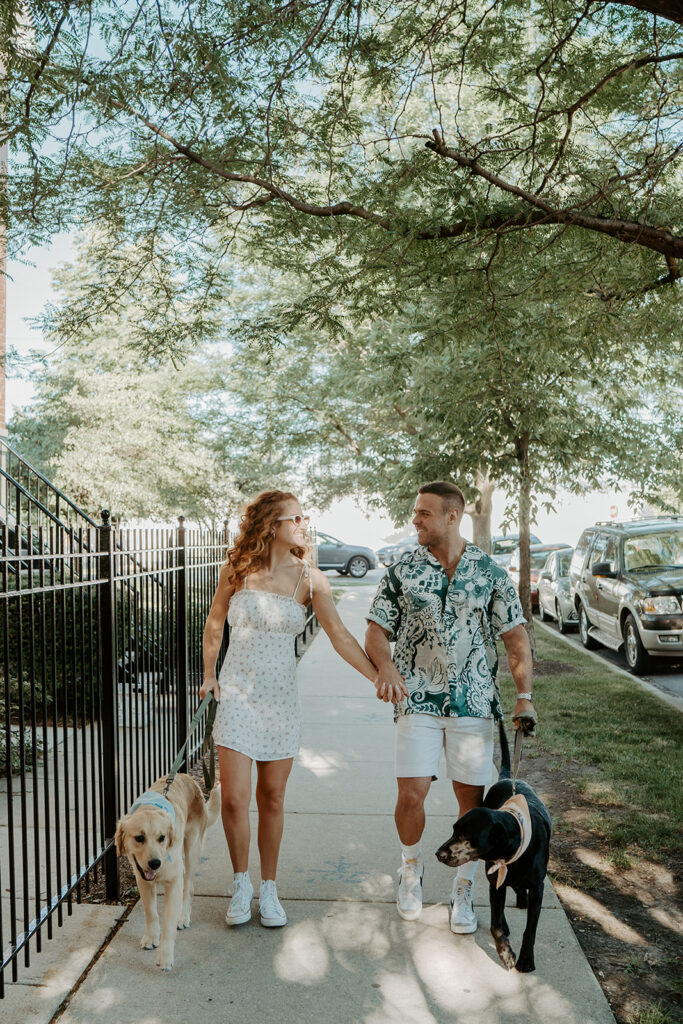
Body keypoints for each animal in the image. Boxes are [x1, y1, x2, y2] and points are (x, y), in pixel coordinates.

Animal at [436, 724, 552, 970]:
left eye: (466, 835)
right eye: (454, 830)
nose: (438, 854)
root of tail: (508, 778)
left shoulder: (538, 888)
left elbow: (530, 929)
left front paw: (526, 959)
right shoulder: (495, 881)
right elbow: (495, 924)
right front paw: (506, 952)